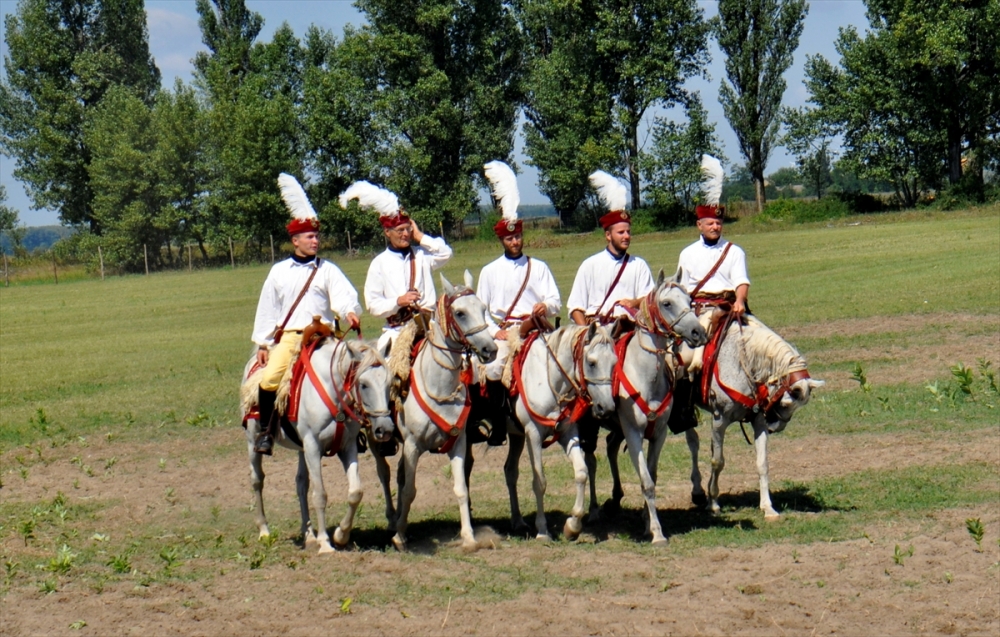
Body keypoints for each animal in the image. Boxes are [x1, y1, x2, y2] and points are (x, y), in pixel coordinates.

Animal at [242, 338, 394, 552]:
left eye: (389, 383)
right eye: (364, 384)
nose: (385, 429)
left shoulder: (347, 446)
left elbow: (356, 491)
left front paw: (341, 535)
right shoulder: (313, 447)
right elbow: (320, 494)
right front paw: (325, 542)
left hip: (301, 448)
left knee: (301, 483)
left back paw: (308, 535)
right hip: (252, 440)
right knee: (257, 480)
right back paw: (264, 530)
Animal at [390, 270, 500, 548]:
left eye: (483, 309)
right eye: (460, 313)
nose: (490, 349)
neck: (439, 387)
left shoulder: (458, 443)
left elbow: (461, 489)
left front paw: (469, 537)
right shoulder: (412, 446)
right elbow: (409, 490)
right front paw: (399, 536)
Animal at [504, 320, 620, 540]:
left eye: (614, 363)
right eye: (591, 363)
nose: (607, 408)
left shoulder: (568, 432)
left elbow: (582, 472)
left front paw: (573, 526)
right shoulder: (533, 434)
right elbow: (539, 481)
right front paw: (542, 530)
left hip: (516, 436)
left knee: (510, 471)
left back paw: (517, 521)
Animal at [584, 270, 708, 544]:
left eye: (689, 299)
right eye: (667, 303)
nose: (698, 333)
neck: (646, 377)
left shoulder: (658, 434)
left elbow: (652, 475)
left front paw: (646, 521)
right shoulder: (633, 433)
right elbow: (646, 481)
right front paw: (657, 533)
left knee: (610, 447)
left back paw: (615, 498)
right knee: (590, 461)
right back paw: (594, 509)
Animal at [684, 316, 824, 520]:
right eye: (785, 404)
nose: (775, 427)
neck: (741, 363)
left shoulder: (759, 422)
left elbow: (762, 463)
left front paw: (767, 507)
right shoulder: (719, 421)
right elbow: (717, 461)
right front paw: (714, 503)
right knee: (693, 442)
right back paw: (698, 491)